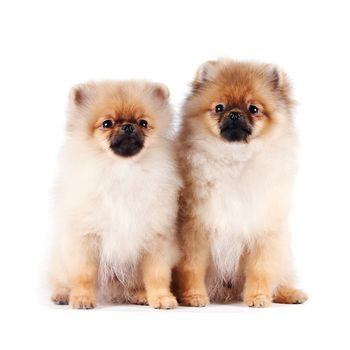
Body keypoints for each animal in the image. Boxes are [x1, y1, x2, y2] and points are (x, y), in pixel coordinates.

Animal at [175, 58, 306, 308]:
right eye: (219, 107)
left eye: (253, 109)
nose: (235, 114)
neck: (234, 160)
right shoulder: (195, 231)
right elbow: (192, 267)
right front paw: (194, 296)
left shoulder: (263, 230)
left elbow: (261, 269)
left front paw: (258, 297)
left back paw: (289, 293)